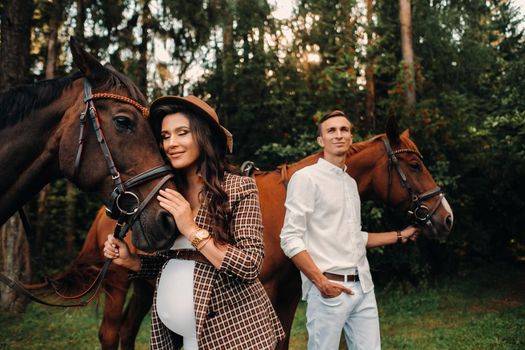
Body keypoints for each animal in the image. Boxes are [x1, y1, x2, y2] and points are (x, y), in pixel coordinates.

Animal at [55, 121, 452, 348]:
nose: (445, 217)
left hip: (145, 285)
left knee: (126, 332)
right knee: (110, 333)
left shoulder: (288, 296)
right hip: (118, 283)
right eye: (414, 164)